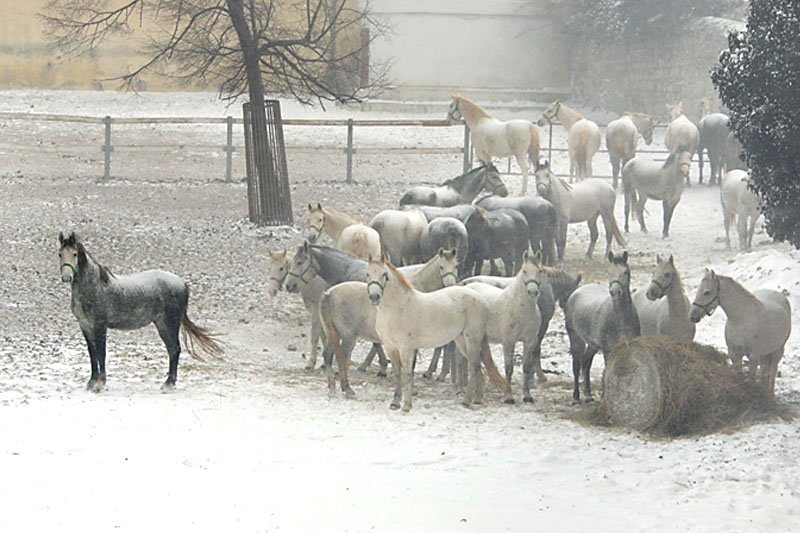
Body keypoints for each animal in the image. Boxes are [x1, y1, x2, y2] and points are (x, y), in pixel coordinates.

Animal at [58, 232, 223, 390]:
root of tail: (182, 283)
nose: (66, 277)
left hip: (170, 324)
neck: (95, 286)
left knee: (175, 349)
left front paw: (100, 383)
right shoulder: (85, 325)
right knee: (172, 350)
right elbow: (92, 353)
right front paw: (92, 382)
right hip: (161, 324)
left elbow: (101, 353)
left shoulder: (100, 325)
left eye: (74, 254)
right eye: (60, 254)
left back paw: (169, 384)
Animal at [368, 254, 512, 412]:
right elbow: (398, 374)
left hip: (472, 339)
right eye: (368, 274)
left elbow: (407, 374)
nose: (374, 296)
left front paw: (406, 405)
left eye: (384, 275)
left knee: (474, 366)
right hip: (461, 340)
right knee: (478, 365)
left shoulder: (406, 348)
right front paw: (395, 403)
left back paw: (467, 401)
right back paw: (477, 399)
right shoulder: (390, 347)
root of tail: (481, 299)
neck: (398, 307)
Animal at [564, 251, 640, 402]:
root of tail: (577, 291)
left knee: (586, 363)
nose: (615, 292)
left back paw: (588, 394)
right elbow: (607, 369)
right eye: (609, 271)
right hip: (575, 338)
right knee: (576, 365)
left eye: (625, 272)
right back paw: (576, 397)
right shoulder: (607, 348)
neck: (620, 316)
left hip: (593, 344)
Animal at [688, 268, 792, 396]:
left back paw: (770, 395)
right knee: (764, 371)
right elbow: (739, 375)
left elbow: (751, 378)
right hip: (764, 353)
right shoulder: (734, 353)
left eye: (707, 292)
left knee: (773, 371)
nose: (692, 316)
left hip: (778, 350)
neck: (742, 319)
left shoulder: (753, 356)